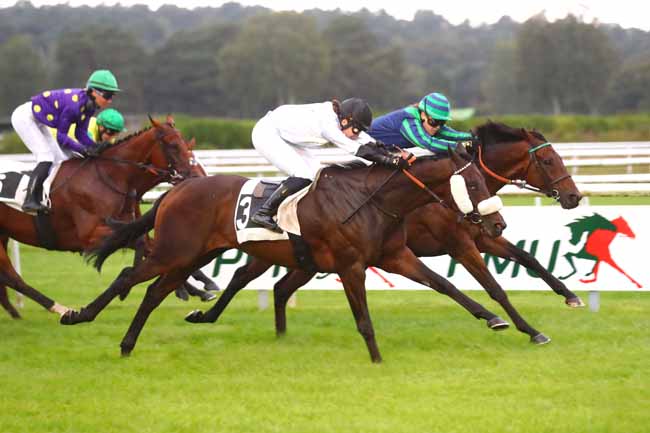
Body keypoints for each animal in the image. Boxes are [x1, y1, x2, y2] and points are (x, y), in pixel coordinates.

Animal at [0, 115, 194, 318]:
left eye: (186, 144)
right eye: (173, 145)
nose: (191, 175)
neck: (110, 176)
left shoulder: (128, 226)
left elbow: (153, 246)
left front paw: (186, 288)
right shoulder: (91, 235)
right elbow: (143, 244)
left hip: (3, 235)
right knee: (12, 278)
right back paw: (60, 309)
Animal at [62, 147, 506, 360]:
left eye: (485, 182)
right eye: (474, 185)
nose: (498, 225)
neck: (372, 201)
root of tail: (177, 188)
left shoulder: (396, 257)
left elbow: (446, 286)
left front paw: (494, 318)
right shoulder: (351, 265)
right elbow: (363, 319)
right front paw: (377, 358)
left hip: (193, 256)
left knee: (154, 293)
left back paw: (127, 344)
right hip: (175, 251)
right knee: (128, 278)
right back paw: (77, 315)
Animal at [195, 122, 580, 344]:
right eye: (548, 161)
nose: (573, 196)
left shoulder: (482, 234)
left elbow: (528, 258)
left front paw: (569, 296)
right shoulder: (459, 243)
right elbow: (495, 287)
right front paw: (529, 330)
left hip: (306, 261)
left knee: (279, 287)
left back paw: (277, 334)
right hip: (275, 253)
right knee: (242, 276)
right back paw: (210, 315)